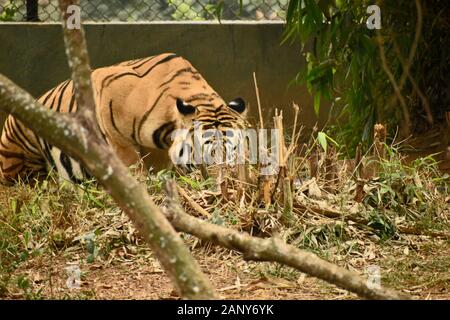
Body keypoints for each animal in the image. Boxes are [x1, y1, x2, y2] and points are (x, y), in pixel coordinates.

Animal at [0, 51, 248, 184]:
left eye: (234, 150)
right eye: (207, 152)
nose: (227, 181)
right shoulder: (112, 124)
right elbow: (130, 164)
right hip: (17, 156)